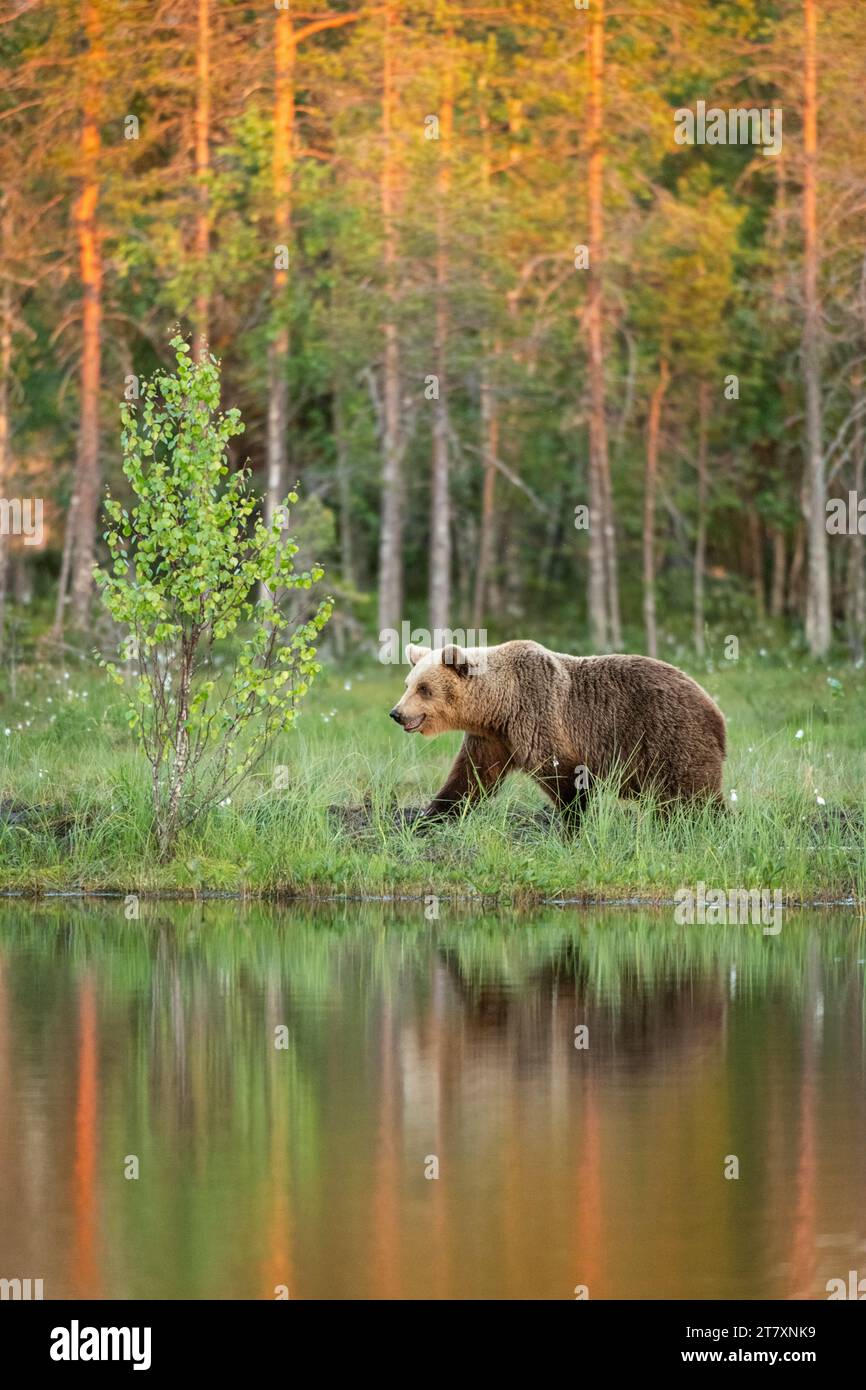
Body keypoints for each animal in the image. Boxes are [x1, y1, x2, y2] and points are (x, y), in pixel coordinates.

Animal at [389, 639, 726, 825]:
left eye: (424, 688)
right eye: (408, 684)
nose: (396, 713)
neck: (498, 705)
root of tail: (714, 708)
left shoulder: (537, 715)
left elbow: (564, 776)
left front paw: (572, 825)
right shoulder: (492, 739)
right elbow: (470, 779)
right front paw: (430, 815)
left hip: (669, 736)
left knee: (693, 794)